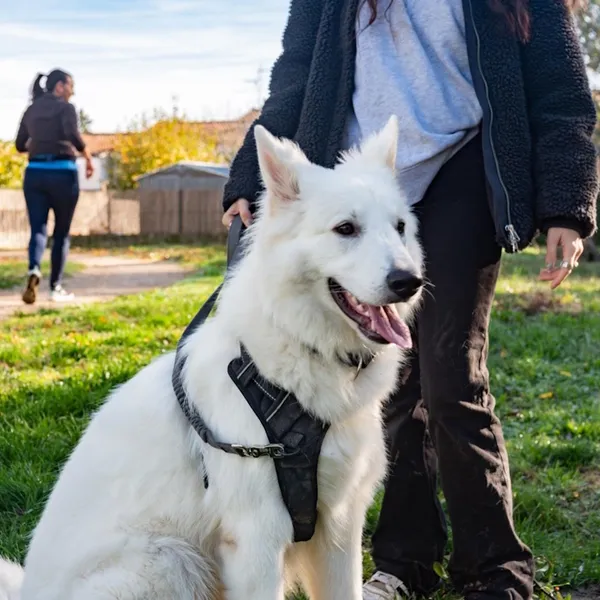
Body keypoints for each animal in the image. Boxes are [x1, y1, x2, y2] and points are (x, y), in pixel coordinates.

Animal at [1, 115, 422, 596]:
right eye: (346, 229)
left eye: (400, 227)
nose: (410, 281)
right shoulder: (258, 538)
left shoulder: (340, 530)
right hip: (172, 559)